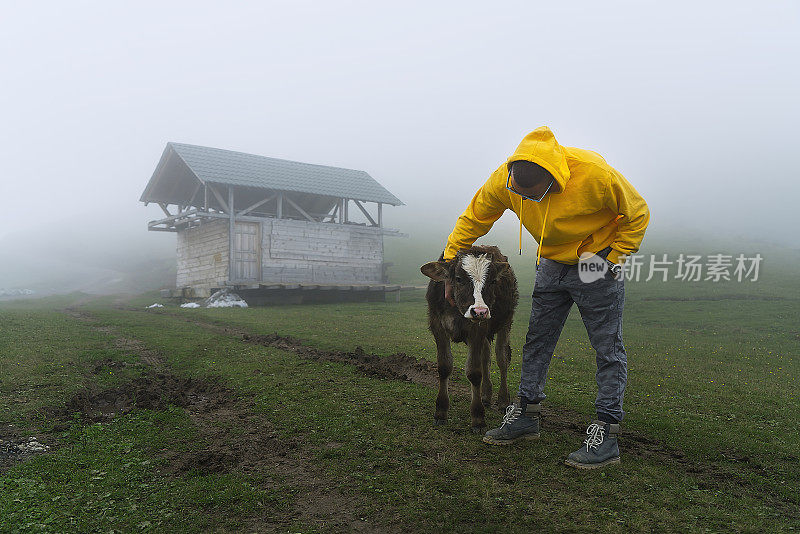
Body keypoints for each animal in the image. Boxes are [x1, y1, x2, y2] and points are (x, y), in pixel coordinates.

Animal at [418, 247, 520, 436]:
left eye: (493, 281)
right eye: (458, 279)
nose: (479, 311)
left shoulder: (477, 330)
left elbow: (474, 372)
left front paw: (478, 417)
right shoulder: (437, 326)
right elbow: (444, 366)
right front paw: (441, 411)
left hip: (506, 321)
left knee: (502, 359)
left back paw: (503, 400)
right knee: (486, 358)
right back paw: (486, 395)